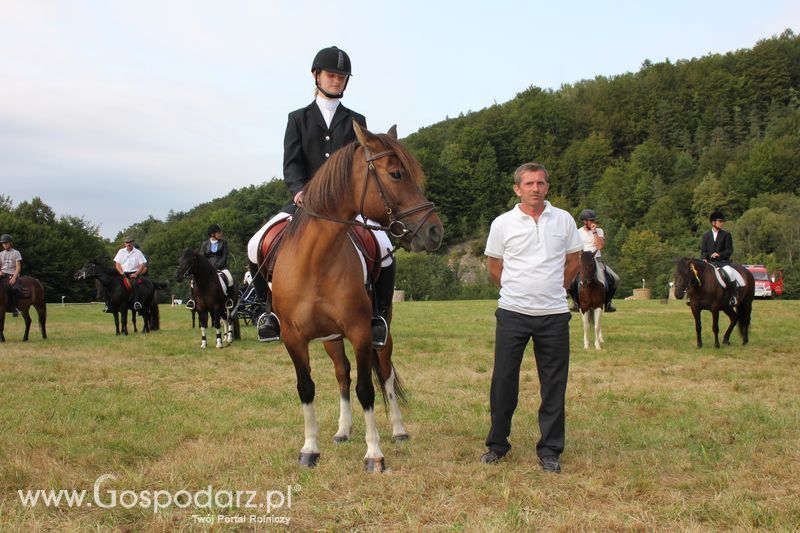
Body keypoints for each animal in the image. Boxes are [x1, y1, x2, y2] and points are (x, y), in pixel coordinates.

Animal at [268, 122, 444, 472]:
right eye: (396, 174)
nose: (435, 232)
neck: (316, 261)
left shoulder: (362, 332)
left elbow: (367, 390)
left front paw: (374, 453)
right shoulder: (294, 338)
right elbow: (307, 387)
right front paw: (309, 449)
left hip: (382, 332)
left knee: (385, 374)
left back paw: (399, 430)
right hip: (331, 339)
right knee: (342, 374)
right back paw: (343, 430)